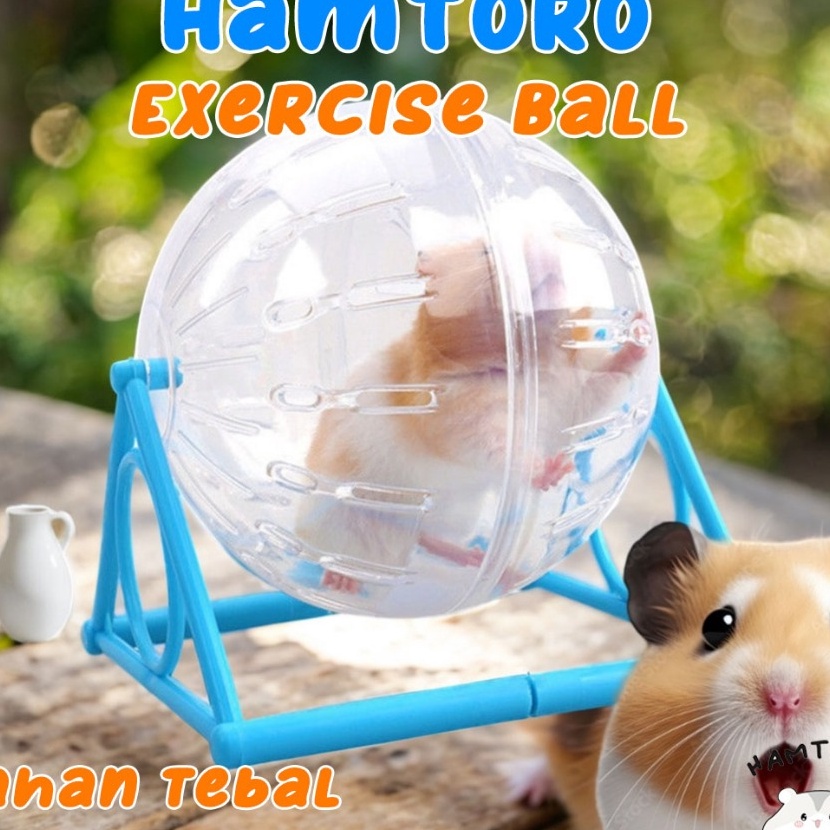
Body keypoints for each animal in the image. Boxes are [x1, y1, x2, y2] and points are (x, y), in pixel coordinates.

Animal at [296, 237, 648, 592]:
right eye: (486, 251)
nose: (546, 246)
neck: (526, 365)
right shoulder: (459, 422)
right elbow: (499, 449)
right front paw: (553, 470)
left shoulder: (571, 396)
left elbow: (603, 384)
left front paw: (641, 328)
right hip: (345, 522)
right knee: (343, 556)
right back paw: (342, 580)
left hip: (460, 516)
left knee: (430, 540)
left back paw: (485, 563)